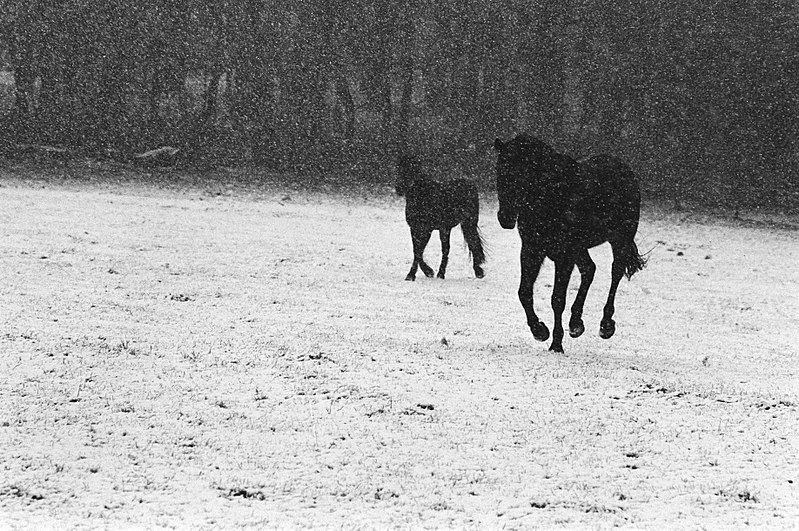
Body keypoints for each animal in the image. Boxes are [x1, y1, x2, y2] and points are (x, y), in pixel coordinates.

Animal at [490, 134, 648, 354]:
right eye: (500, 171)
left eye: (524, 174)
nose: (505, 217)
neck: (551, 197)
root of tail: (624, 169)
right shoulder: (532, 250)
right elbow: (524, 292)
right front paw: (540, 331)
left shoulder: (564, 256)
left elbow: (557, 299)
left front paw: (556, 343)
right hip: (581, 248)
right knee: (589, 269)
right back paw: (576, 324)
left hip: (620, 239)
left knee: (615, 272)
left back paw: (606, 325)